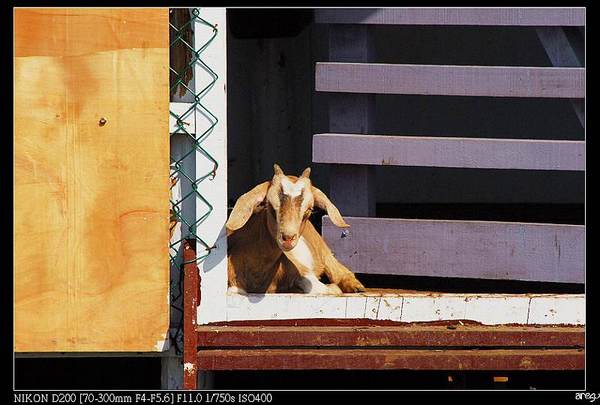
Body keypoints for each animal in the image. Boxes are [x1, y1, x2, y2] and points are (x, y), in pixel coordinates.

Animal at [225, 163, 366, 294]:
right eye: (269, 206)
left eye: (309, 210)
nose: (288, 238)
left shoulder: (302, 270)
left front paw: (333, 288)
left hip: (322, 249)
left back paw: (356, 286)